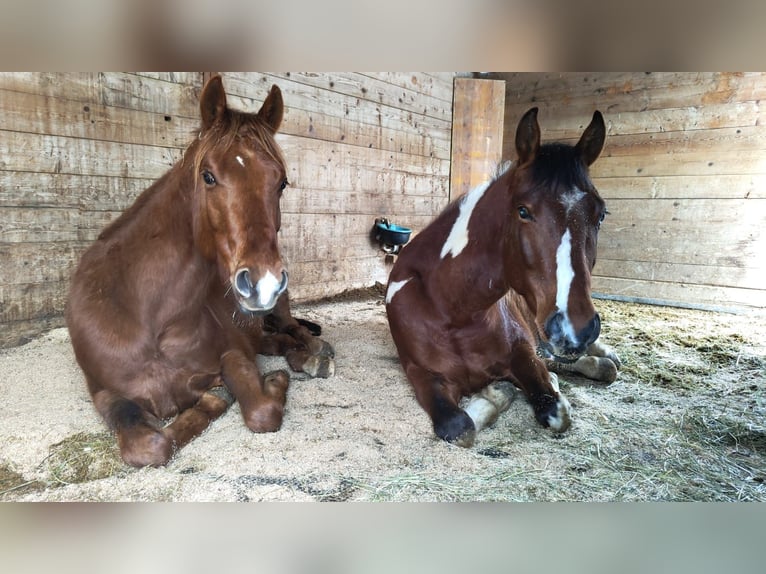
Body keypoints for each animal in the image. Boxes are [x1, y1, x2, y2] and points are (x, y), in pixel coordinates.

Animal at [66, 75, 334, 467]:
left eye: (281, 182)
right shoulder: (104, 393)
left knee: (294, 332)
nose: (264, 283)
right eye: (208, 176)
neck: (150, 322)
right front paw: (216, 398)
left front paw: (267, 385)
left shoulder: (233, 354)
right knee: (277, 341)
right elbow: (147, 445)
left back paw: (315, 354)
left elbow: (261, 411)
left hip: (279, 311)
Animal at [385, 107, 620, 447]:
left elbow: (557, 412)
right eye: (523, 211)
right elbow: (460, 429)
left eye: (600, 214)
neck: (451, 310)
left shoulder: (524, 354)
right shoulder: (421, 374)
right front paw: (498, 392)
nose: (577, 329)